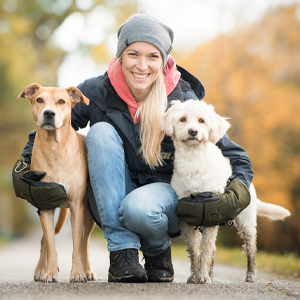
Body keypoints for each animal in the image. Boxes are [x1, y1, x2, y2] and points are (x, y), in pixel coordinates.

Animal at [18, 83, 96, 282]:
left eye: (61, 101)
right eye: (39, 99)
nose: (48, 113)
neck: (55, 147)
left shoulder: (77, 207)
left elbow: (77, 246)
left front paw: (77, 273)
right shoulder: (45, 205)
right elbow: (51, 246)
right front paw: (50, 272)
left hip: (88, 215)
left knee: (85, 243)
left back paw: (87, 271)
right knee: (45, 240)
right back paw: (41, 270)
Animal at [162, 100, 290, 284]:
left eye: (201, 120)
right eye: (183, 119)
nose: (193, 131)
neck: (193, 160)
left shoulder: (209, 213)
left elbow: (206, 250)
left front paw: (202, 276)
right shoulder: (187, 219)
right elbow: (194, 251)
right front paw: (195, 275)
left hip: (246, 222)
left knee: (250, 249)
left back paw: (251, 275)